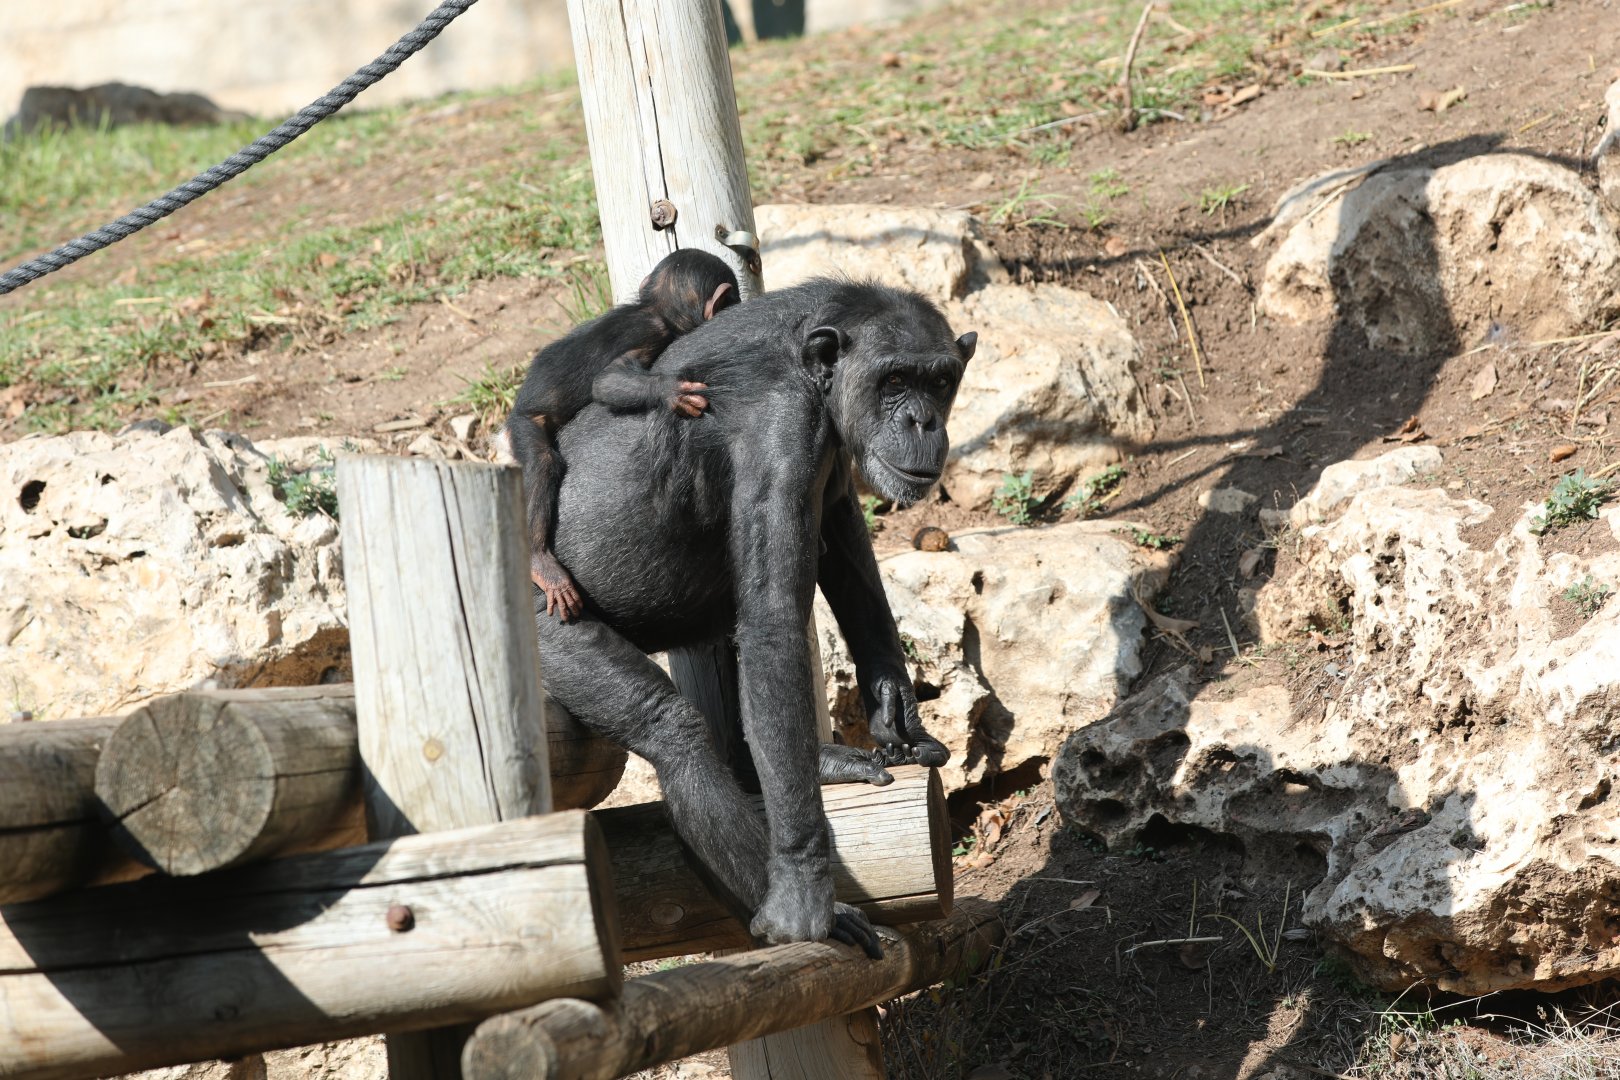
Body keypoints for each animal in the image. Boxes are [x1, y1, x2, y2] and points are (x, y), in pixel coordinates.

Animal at [505, 248, 740, 622]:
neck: (655, 308)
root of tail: (513, 410)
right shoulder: (652, 336)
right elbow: (608, 379)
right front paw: (671, 391)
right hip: (525, 427)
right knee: (542, 463)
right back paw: (540, 563)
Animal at [532, 278, 975, 957]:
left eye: (941, 381)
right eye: (895, 379)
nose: (921, 418)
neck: (816, 372)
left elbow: (841, 533)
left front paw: (893, 705)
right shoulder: (782, 432)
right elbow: (772, 629)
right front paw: (800, 890)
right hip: (547, 630)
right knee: (674, 732)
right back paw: (807, 909)